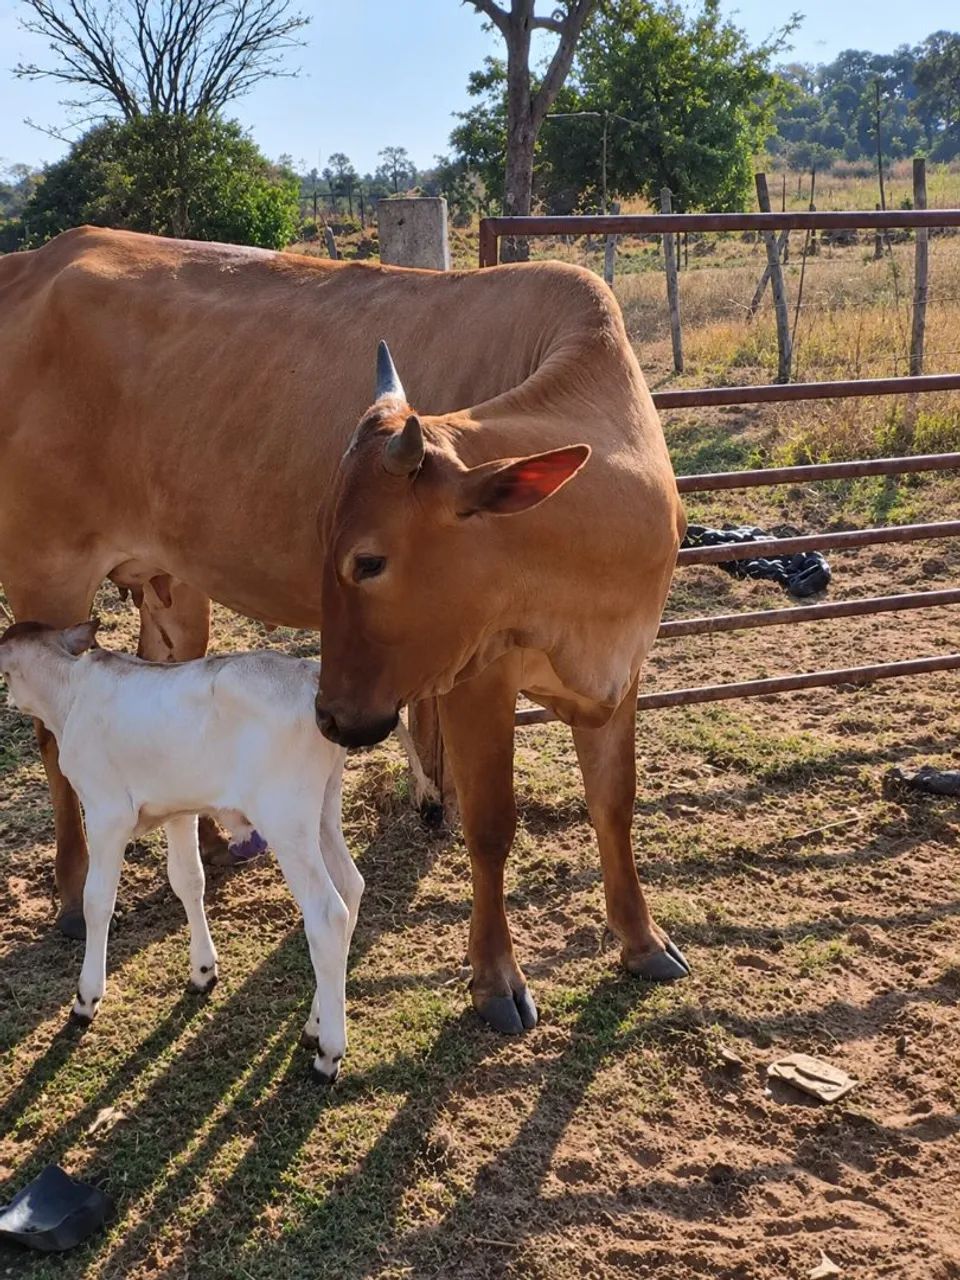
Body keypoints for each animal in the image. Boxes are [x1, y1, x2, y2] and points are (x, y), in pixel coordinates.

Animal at [0, 225, 686, 1034]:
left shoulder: (623, 670)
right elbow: (491, 826)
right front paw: (496, 978)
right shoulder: (475, 680)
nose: (328, 716)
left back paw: (208, 835)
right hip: (48, 574)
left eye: (368, 559)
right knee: (52, 735)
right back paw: (75, 891)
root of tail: (35, 259)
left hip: (173, 588)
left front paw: (642, 941)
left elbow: (615, 804)